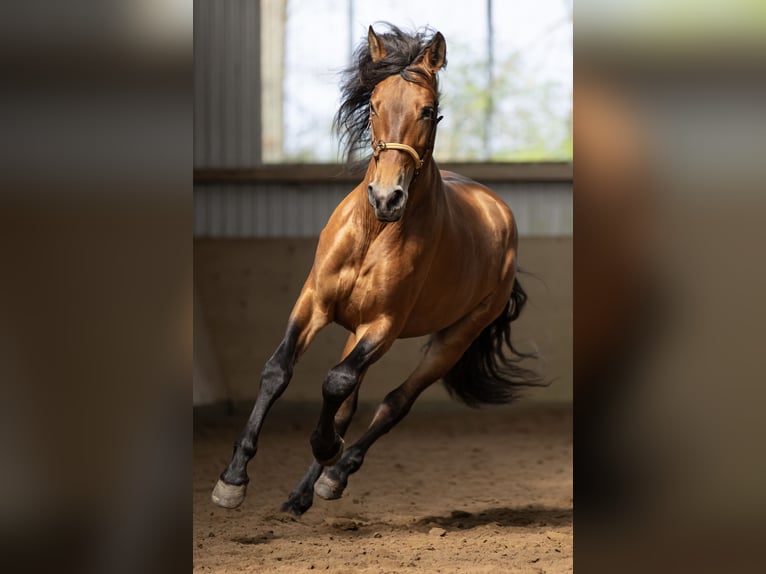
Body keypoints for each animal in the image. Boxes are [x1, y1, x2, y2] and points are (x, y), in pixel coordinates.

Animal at [213, 23, 544, 516]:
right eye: (373, 105)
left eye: (428, 110)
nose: (387, 197)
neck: (374, 233)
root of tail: (498, 210)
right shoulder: (314, 302)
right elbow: (279, 371)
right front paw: (233, 479)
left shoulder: (384, 326)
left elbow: (337, 382)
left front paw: (326, 450)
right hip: (357, 329)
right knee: (348, 402)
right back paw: (300, 496)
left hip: (453, 339)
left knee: (394, 403)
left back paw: (334, 474)